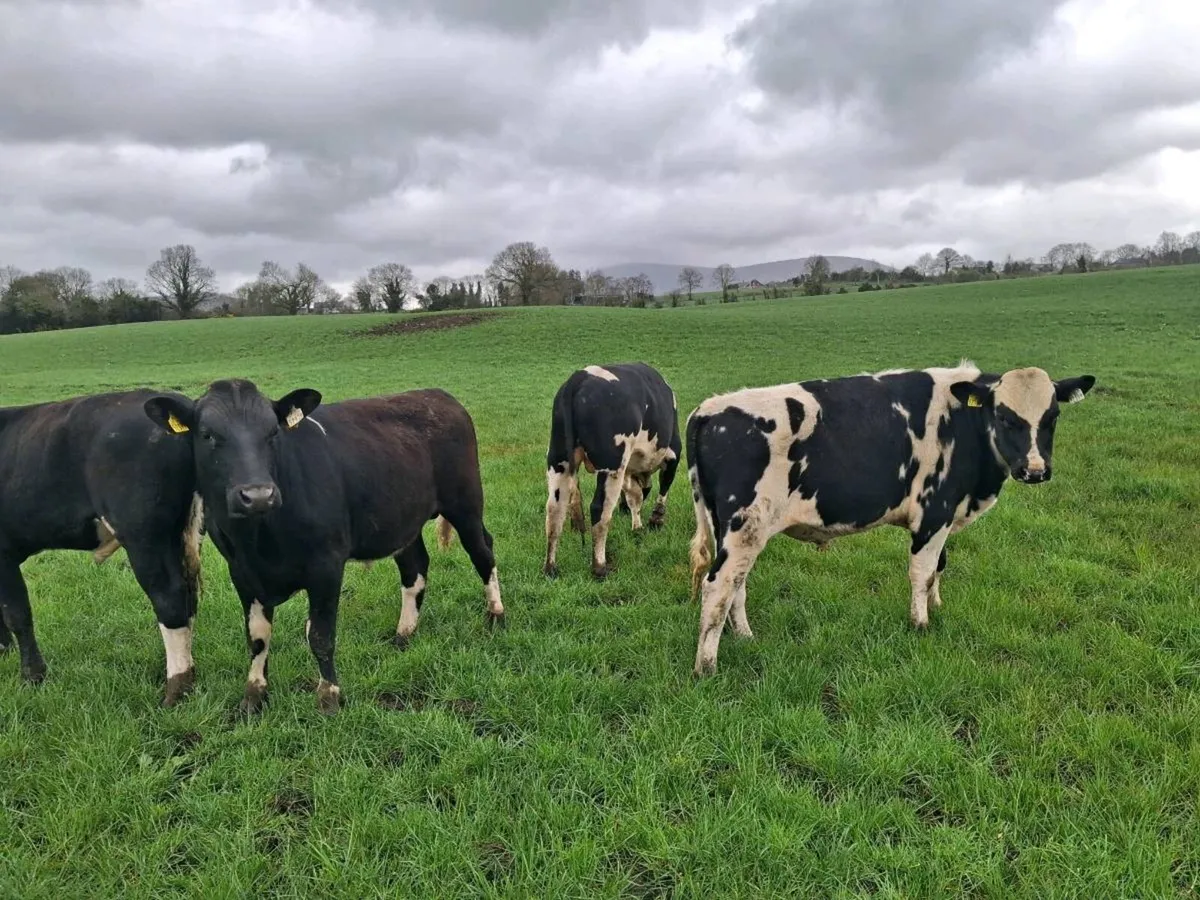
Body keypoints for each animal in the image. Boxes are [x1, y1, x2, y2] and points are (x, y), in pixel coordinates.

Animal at [0, 390, 203, 705]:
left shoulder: (4, 552)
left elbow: (17, 614)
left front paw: (32, 676)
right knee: (188, 597)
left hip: (144, 537)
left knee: (170, 599)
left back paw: (176, 690)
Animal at [142, 379, 504, 715]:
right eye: (207, 435)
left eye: (272, 432)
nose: (258, 495)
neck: (259, 539)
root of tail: (435, 394)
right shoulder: (242, 572)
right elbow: (258, 638)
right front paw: (254, 695)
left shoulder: (327, 565)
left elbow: (320, 635)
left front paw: (329, 696)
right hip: (404, 519)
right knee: (414, 568)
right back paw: (404, 633)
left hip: (465, 503)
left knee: (483, 552)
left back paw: (496, 616)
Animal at [543, 363, 682, 579]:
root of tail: (579, 377)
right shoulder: (673, 454)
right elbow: (661, 489)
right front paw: (655, 521)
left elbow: (634, 496)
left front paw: (637, 525)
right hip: (612, 465)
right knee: (599, 509)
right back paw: (600, 566)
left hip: (559, 461)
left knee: (554, 510)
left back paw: (551, 568)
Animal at [686, 361, 1096, 676]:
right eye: (1004, 417)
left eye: (1053, 416)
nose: (1035, 470)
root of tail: (708, 409)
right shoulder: (934, 511)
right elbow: (922, 571)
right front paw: (921, 623)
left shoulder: (945, 516)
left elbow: (939, 566)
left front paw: (935, 606)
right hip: (745, 528)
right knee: (718, 587)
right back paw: (706, 667)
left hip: (730, 529)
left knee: (736, 585)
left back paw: (745, 637)